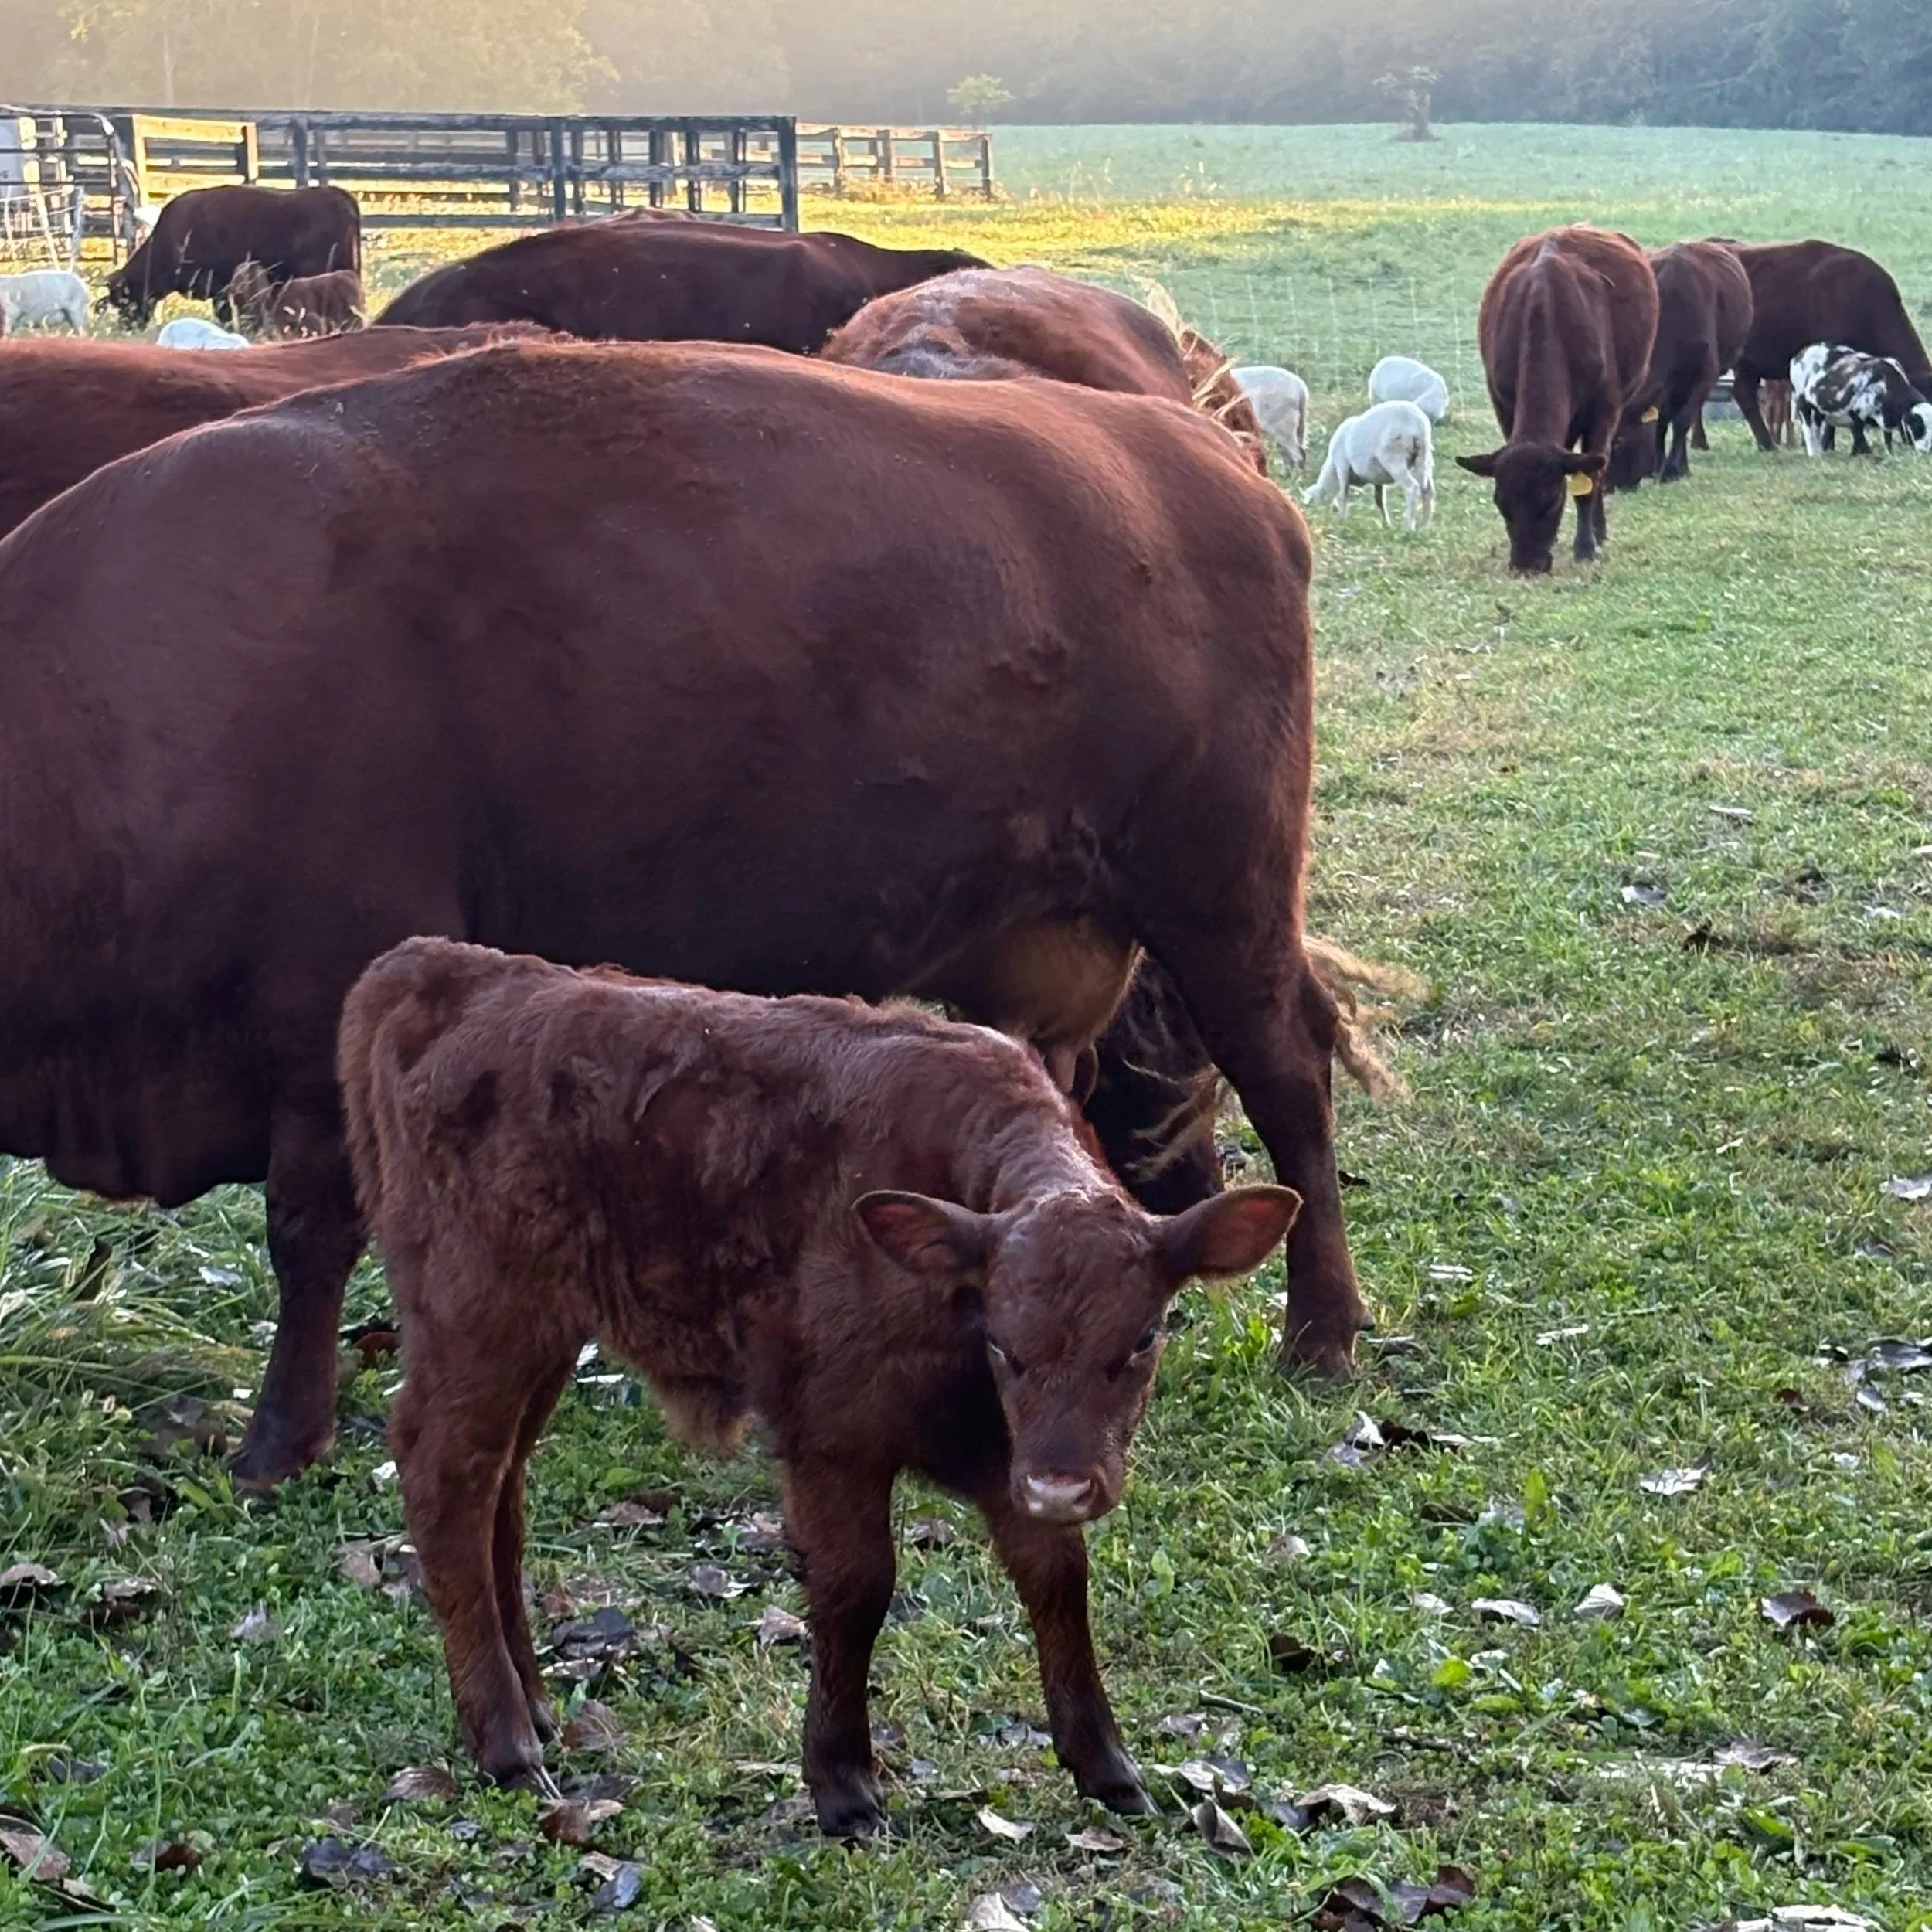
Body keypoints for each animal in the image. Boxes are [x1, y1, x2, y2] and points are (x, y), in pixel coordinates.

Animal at [341, 937, 1299, 1824]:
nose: (1064, 1483)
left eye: (1142, 1337)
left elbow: (1056, 1575)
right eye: (1004, 1343)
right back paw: (505, 1740)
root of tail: (438, 968)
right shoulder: (833, 1435)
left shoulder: (1008, 1453)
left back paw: (534, 1706)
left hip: (539, 1332)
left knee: (499, 1491)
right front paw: (841, 1782)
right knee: (445, 1478)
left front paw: (1104, 1762)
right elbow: (856, 1588)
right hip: (474, 1317)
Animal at [1457, 227, 1660, 572]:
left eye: (1551, 500)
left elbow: (1590, 478)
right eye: (1501, 504)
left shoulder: (1604, 410)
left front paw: (1586, 546)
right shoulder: (1503, 405)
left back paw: (1598, 531)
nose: (1527, 565)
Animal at [1607, 240, 1753, 490]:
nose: (1608, 486)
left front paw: (1672, 470)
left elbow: (1682, 420)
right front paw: (1659, 467)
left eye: (1620, 441)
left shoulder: (1705, 375)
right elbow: (1661, 421)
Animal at [1790, 343, 1932, 456]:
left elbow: (1887, 438)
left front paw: (1889, 453)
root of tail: (1799, 356)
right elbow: (1858, 435)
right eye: (1917, 426)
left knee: (1817, 428)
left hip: (1818, 410)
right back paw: (1814, 454)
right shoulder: (1855, 412)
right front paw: (1862, 454)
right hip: (1803, 402)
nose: (1927, 451)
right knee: (1808, 429)